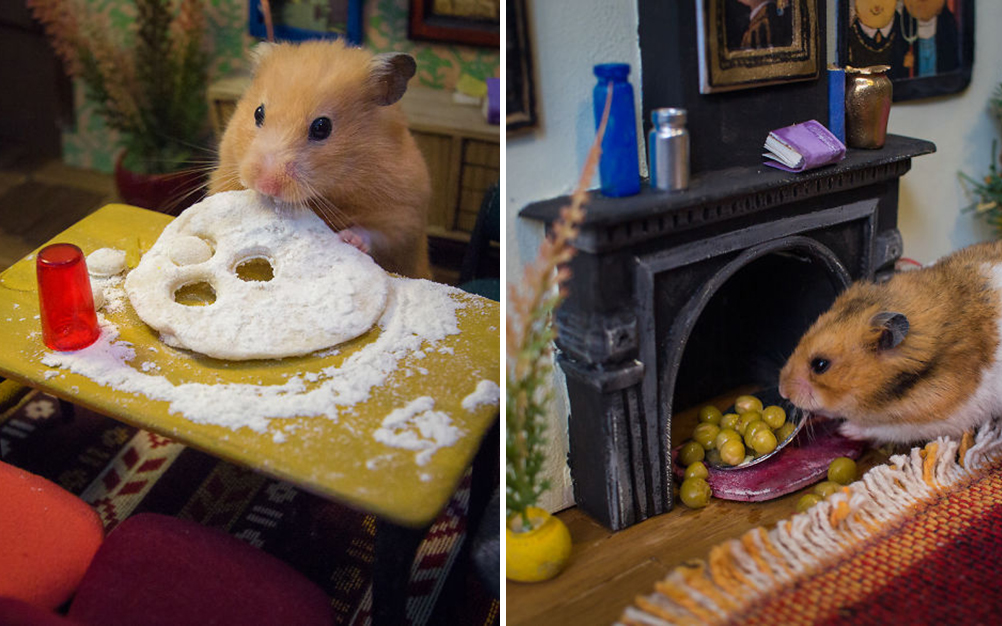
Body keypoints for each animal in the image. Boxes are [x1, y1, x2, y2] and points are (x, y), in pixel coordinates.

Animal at [209, 40, 432, 279]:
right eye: (258, 113)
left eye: (322, 127)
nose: (265, 185)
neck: (328, 193)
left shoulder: (405, 212)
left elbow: (381, 234)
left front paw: (347, 238)